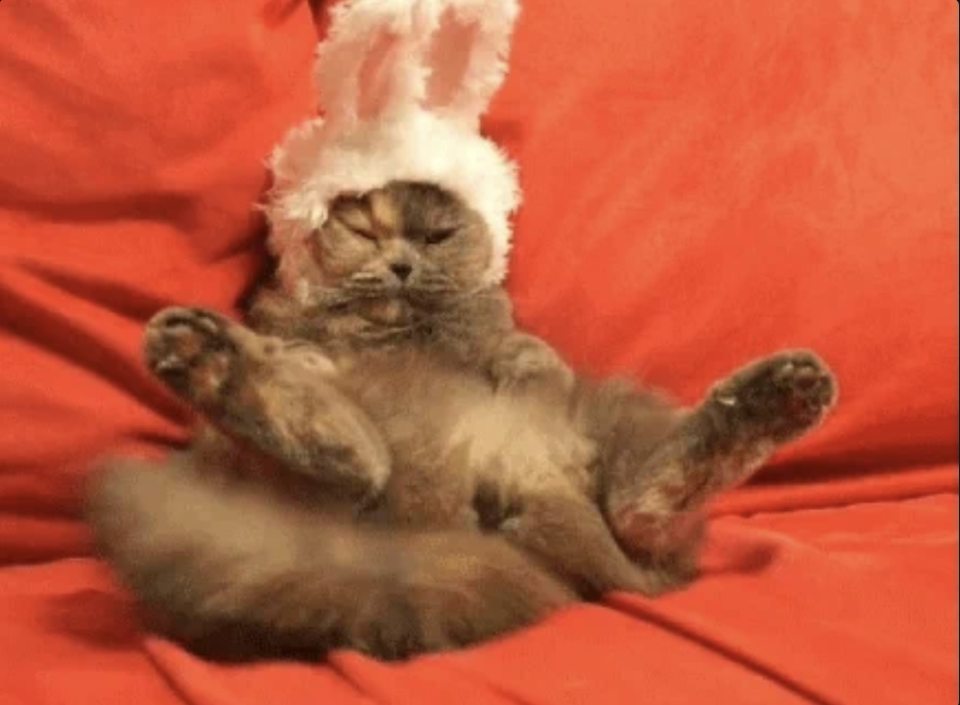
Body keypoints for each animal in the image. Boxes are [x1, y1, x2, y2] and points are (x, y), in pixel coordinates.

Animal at [88, 180, 840, 660]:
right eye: (363, 229)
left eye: (438, 234)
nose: (401, 264)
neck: (406, 336)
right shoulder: (300, 330)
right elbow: (304, 344)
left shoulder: (503, 332)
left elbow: (527, 349)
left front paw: (523, 371)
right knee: (353, 454)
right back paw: (209, 359)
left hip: (618, 426)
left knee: (643, 499)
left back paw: (781, 393)